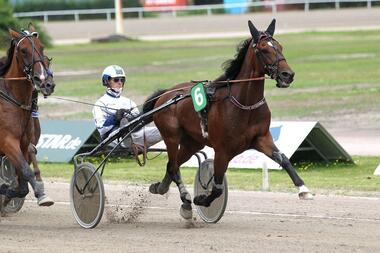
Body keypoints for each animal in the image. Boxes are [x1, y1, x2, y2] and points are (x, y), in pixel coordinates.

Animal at [0, 24, 55, 207]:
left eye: (41, 47)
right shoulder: (7, 141)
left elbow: (22, 179)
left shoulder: (24, 144)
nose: (45, 82)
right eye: (23, 50)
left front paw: (9, 192)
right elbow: (25, 170)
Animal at [144, 18, 314, 219]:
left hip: (192, 142)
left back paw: (161, 188)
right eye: (264, 49)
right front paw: (201, 199)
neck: (245, 105)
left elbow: (284, 159)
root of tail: (165, 95)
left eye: (280, 46)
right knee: (173, 166)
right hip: (171, 136)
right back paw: (185, 201)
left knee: (173, 165)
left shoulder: (262, 138)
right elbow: (217, 188)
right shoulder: (222, 150)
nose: (287, 75)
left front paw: (303, 189)